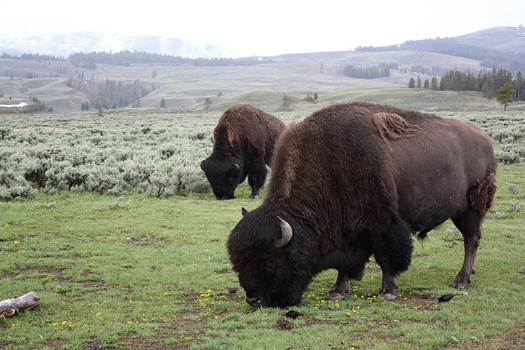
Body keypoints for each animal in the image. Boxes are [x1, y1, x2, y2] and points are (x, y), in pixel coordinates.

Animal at [226, 101, 496, 306]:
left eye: (270, 261)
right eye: (238, 262)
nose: (254, 300)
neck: (331, 164)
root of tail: (485, 140)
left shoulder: (382, 222)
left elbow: (387, 256)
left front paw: (388, 291)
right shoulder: (346, 230)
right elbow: (345, 264)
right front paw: (337, 291)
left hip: (471, 208)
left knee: (470, 240)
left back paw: (460, 280)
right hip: (459, 212)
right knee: (474, 238)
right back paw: (468, 275)